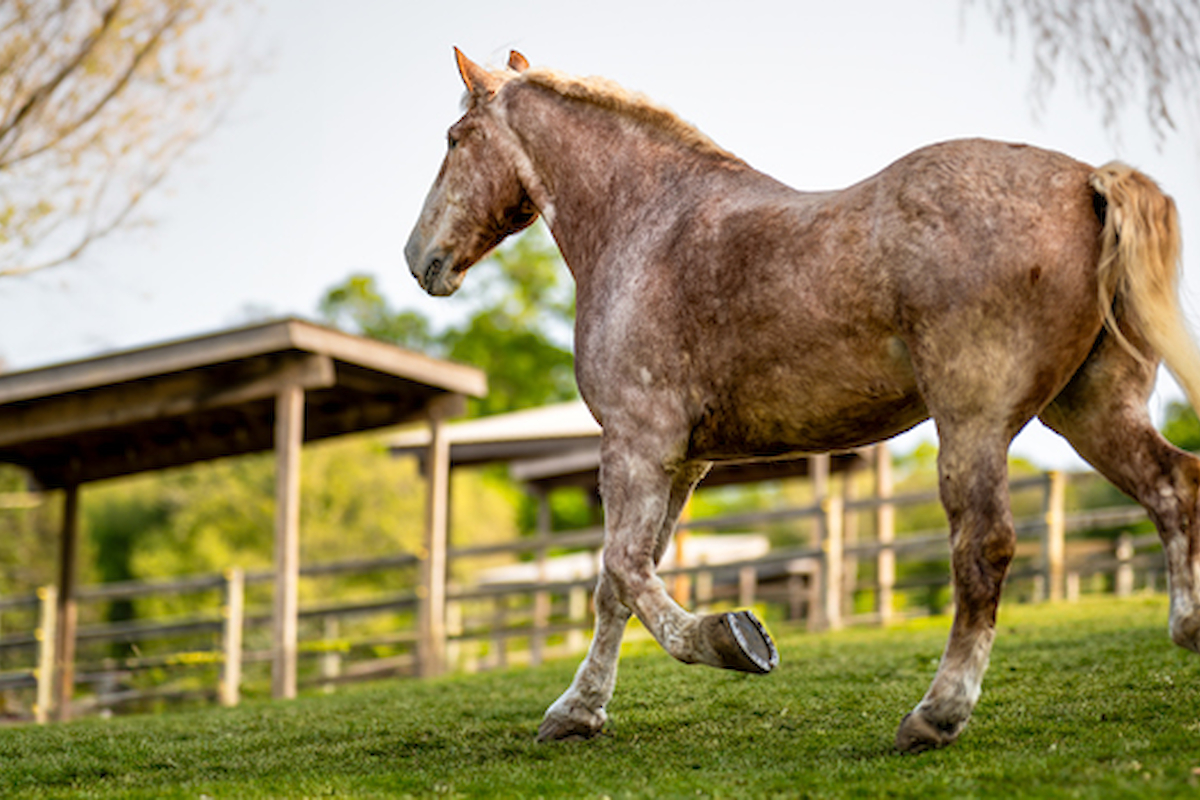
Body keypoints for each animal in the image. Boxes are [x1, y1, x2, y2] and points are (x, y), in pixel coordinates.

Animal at [405, 48, 1200, 753]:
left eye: (453, 138)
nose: (418, 258)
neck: (647, 227)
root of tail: (1087, 180)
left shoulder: (636, 444)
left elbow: (627, 571)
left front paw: (731, 639)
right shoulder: (681, 462)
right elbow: (616, 585)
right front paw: (577, 711)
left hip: (973, 424)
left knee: (986, 547)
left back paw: (935, 715)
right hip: (1091, 411)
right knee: (1173, 489)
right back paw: (1187, 630)